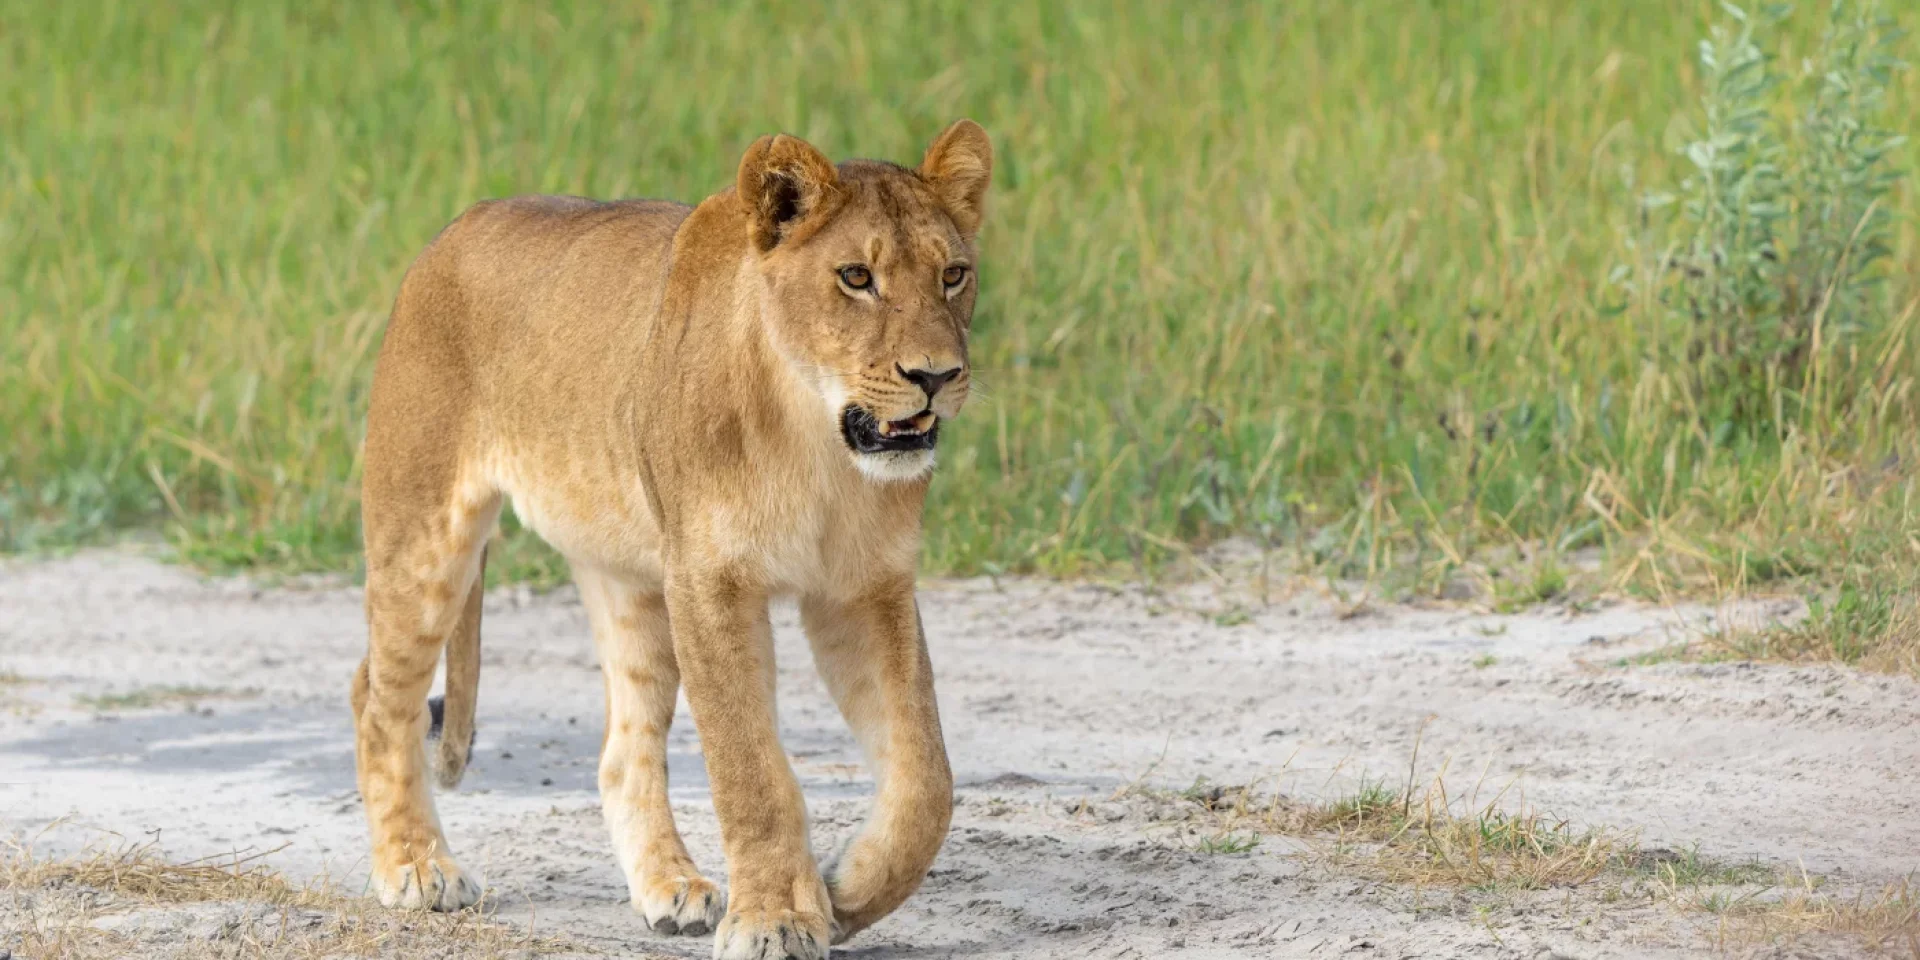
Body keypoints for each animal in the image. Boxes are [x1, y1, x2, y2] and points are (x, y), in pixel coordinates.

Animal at [347, 120, 992, 960]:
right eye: (856, 277)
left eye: (953, 275)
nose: (936, 376)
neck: (816, 443)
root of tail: (455, 228)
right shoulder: (711, 583)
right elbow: (750, 767)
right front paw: (776, 918)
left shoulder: (866, 588)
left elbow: (926, 779)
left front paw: (847, 890)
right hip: (425, 540)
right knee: (377, 699)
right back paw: (417, 868)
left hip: (630, 581)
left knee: (623, 753)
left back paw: (670, 887)